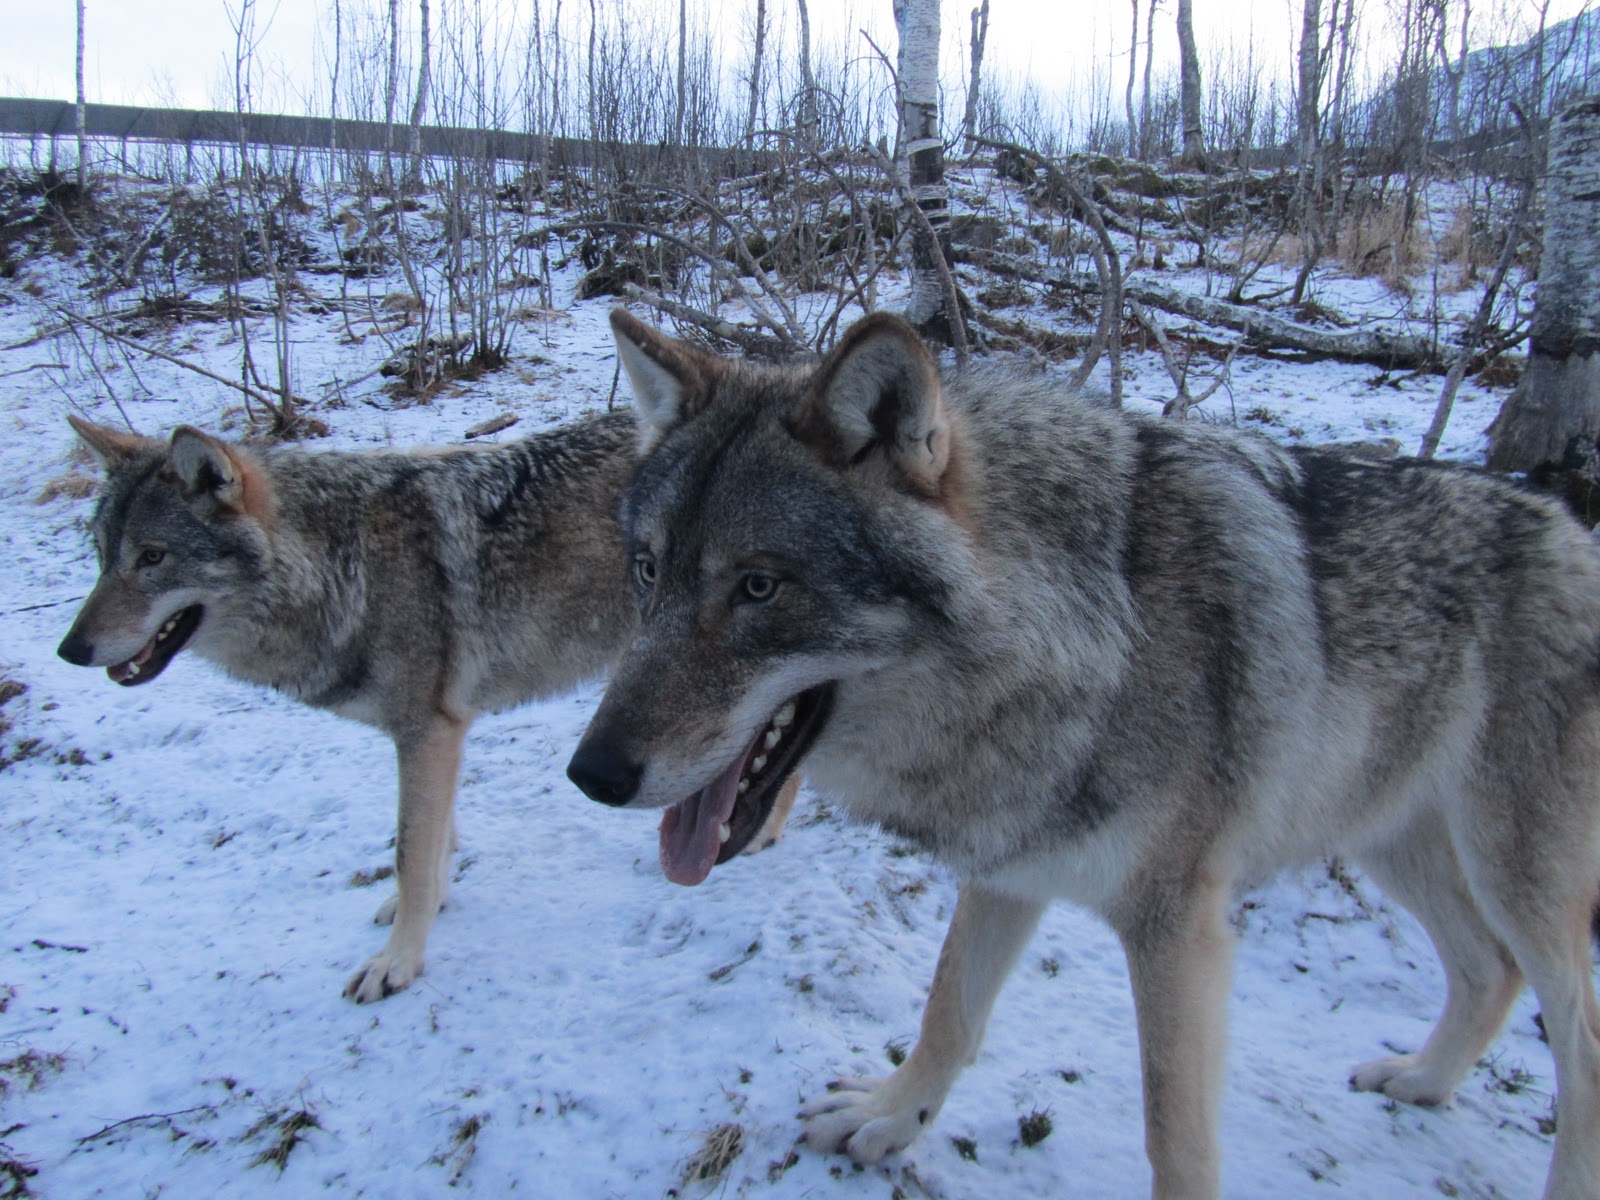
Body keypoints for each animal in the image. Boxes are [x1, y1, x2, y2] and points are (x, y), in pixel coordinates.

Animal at [56, 412, 799, 1003]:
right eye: (102, 556)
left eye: (153, 558)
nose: (69, 649)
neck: (343, 570)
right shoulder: (442, 733)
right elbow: (433, 842)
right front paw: (433, 904)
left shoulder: (426, 732)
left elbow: (410, 852)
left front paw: (397, 965)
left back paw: (758, 832)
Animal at [567, 309, 1600, 1198]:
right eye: (648, 571)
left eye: (757, 587)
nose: (591, 775)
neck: (1087, 632)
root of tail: (1574, 529)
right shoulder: (1009, 864)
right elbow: (948, 1013)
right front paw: (891, 1120)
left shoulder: (1179, 929)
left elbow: (1172, 1137)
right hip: (1394, 840)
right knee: (1488, 973)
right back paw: (1422, 1081)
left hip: (1518, 878)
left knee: (1576, 1038)